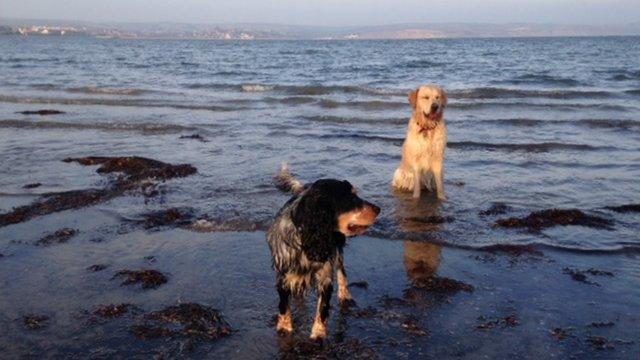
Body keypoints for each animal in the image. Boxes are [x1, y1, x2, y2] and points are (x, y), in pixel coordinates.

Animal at [266, 166, 380, 340]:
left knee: (341, 272)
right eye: (350, 199)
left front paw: (318, 333)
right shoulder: (284, 274)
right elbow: (284, 304)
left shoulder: (325, 273)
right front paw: (284, 328)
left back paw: (345, 295)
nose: (378, 209)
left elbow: (322, 307)